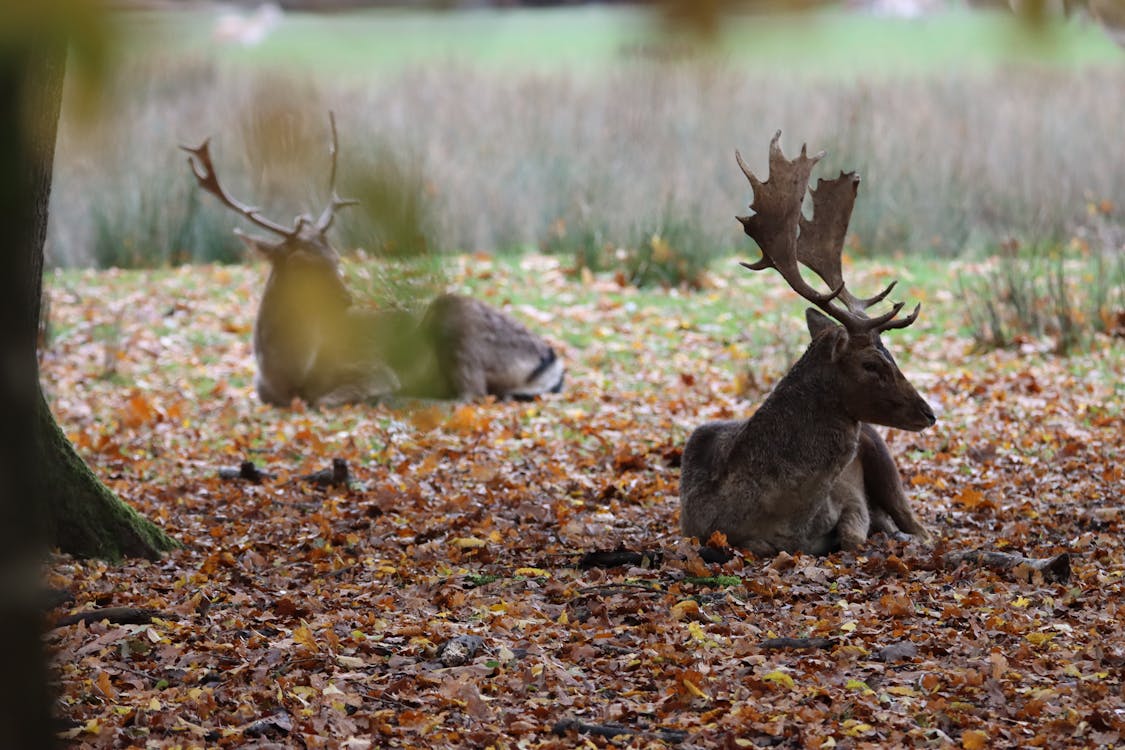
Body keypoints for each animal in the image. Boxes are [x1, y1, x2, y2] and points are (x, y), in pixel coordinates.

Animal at [186, 119, 571, 407]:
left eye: (334, 256)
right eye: (300, 261)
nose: (345, 299)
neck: (288, 373)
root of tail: (550, 359)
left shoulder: (372, 368)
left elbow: (325, 399)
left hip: (458, 321)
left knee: (472, 394)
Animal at [679, 133, 936, 557]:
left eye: (892, 356)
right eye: (872, 364)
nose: (929, 413)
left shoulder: (850, 500)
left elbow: (852, 536)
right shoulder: (696, 528)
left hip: (881, 452)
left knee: (919, 525)